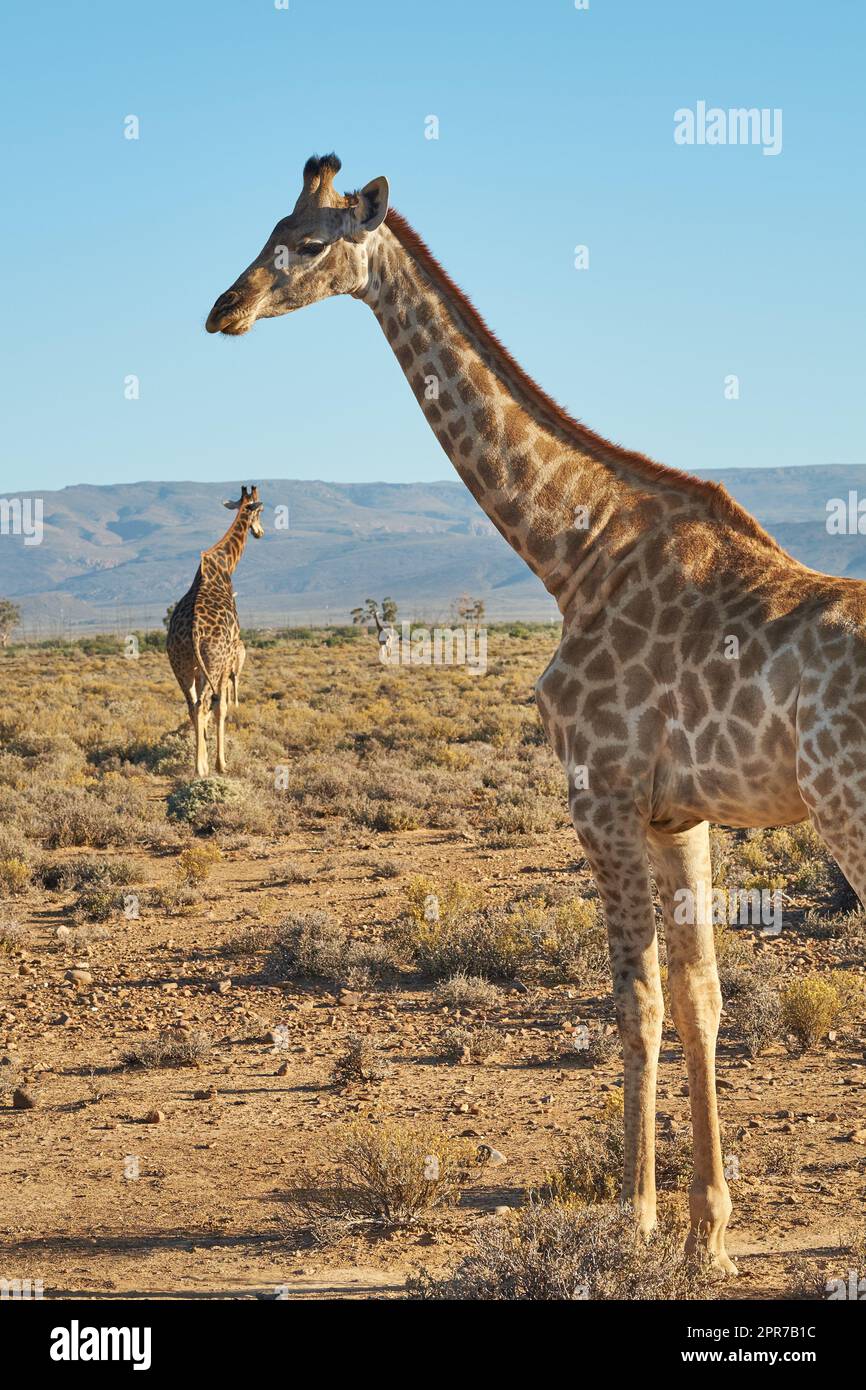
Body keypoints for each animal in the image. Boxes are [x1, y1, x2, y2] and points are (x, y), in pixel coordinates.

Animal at [167, 483, 264, 778]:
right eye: (260, 512)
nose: (260, 532)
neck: (224, 566)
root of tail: (193, 632)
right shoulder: (230, 656)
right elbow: (221, 708)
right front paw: (221, 763)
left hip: (181, 665)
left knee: (192, 706)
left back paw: (199, 763)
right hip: (213, 662)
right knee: (204, 705)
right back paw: (202, 768)